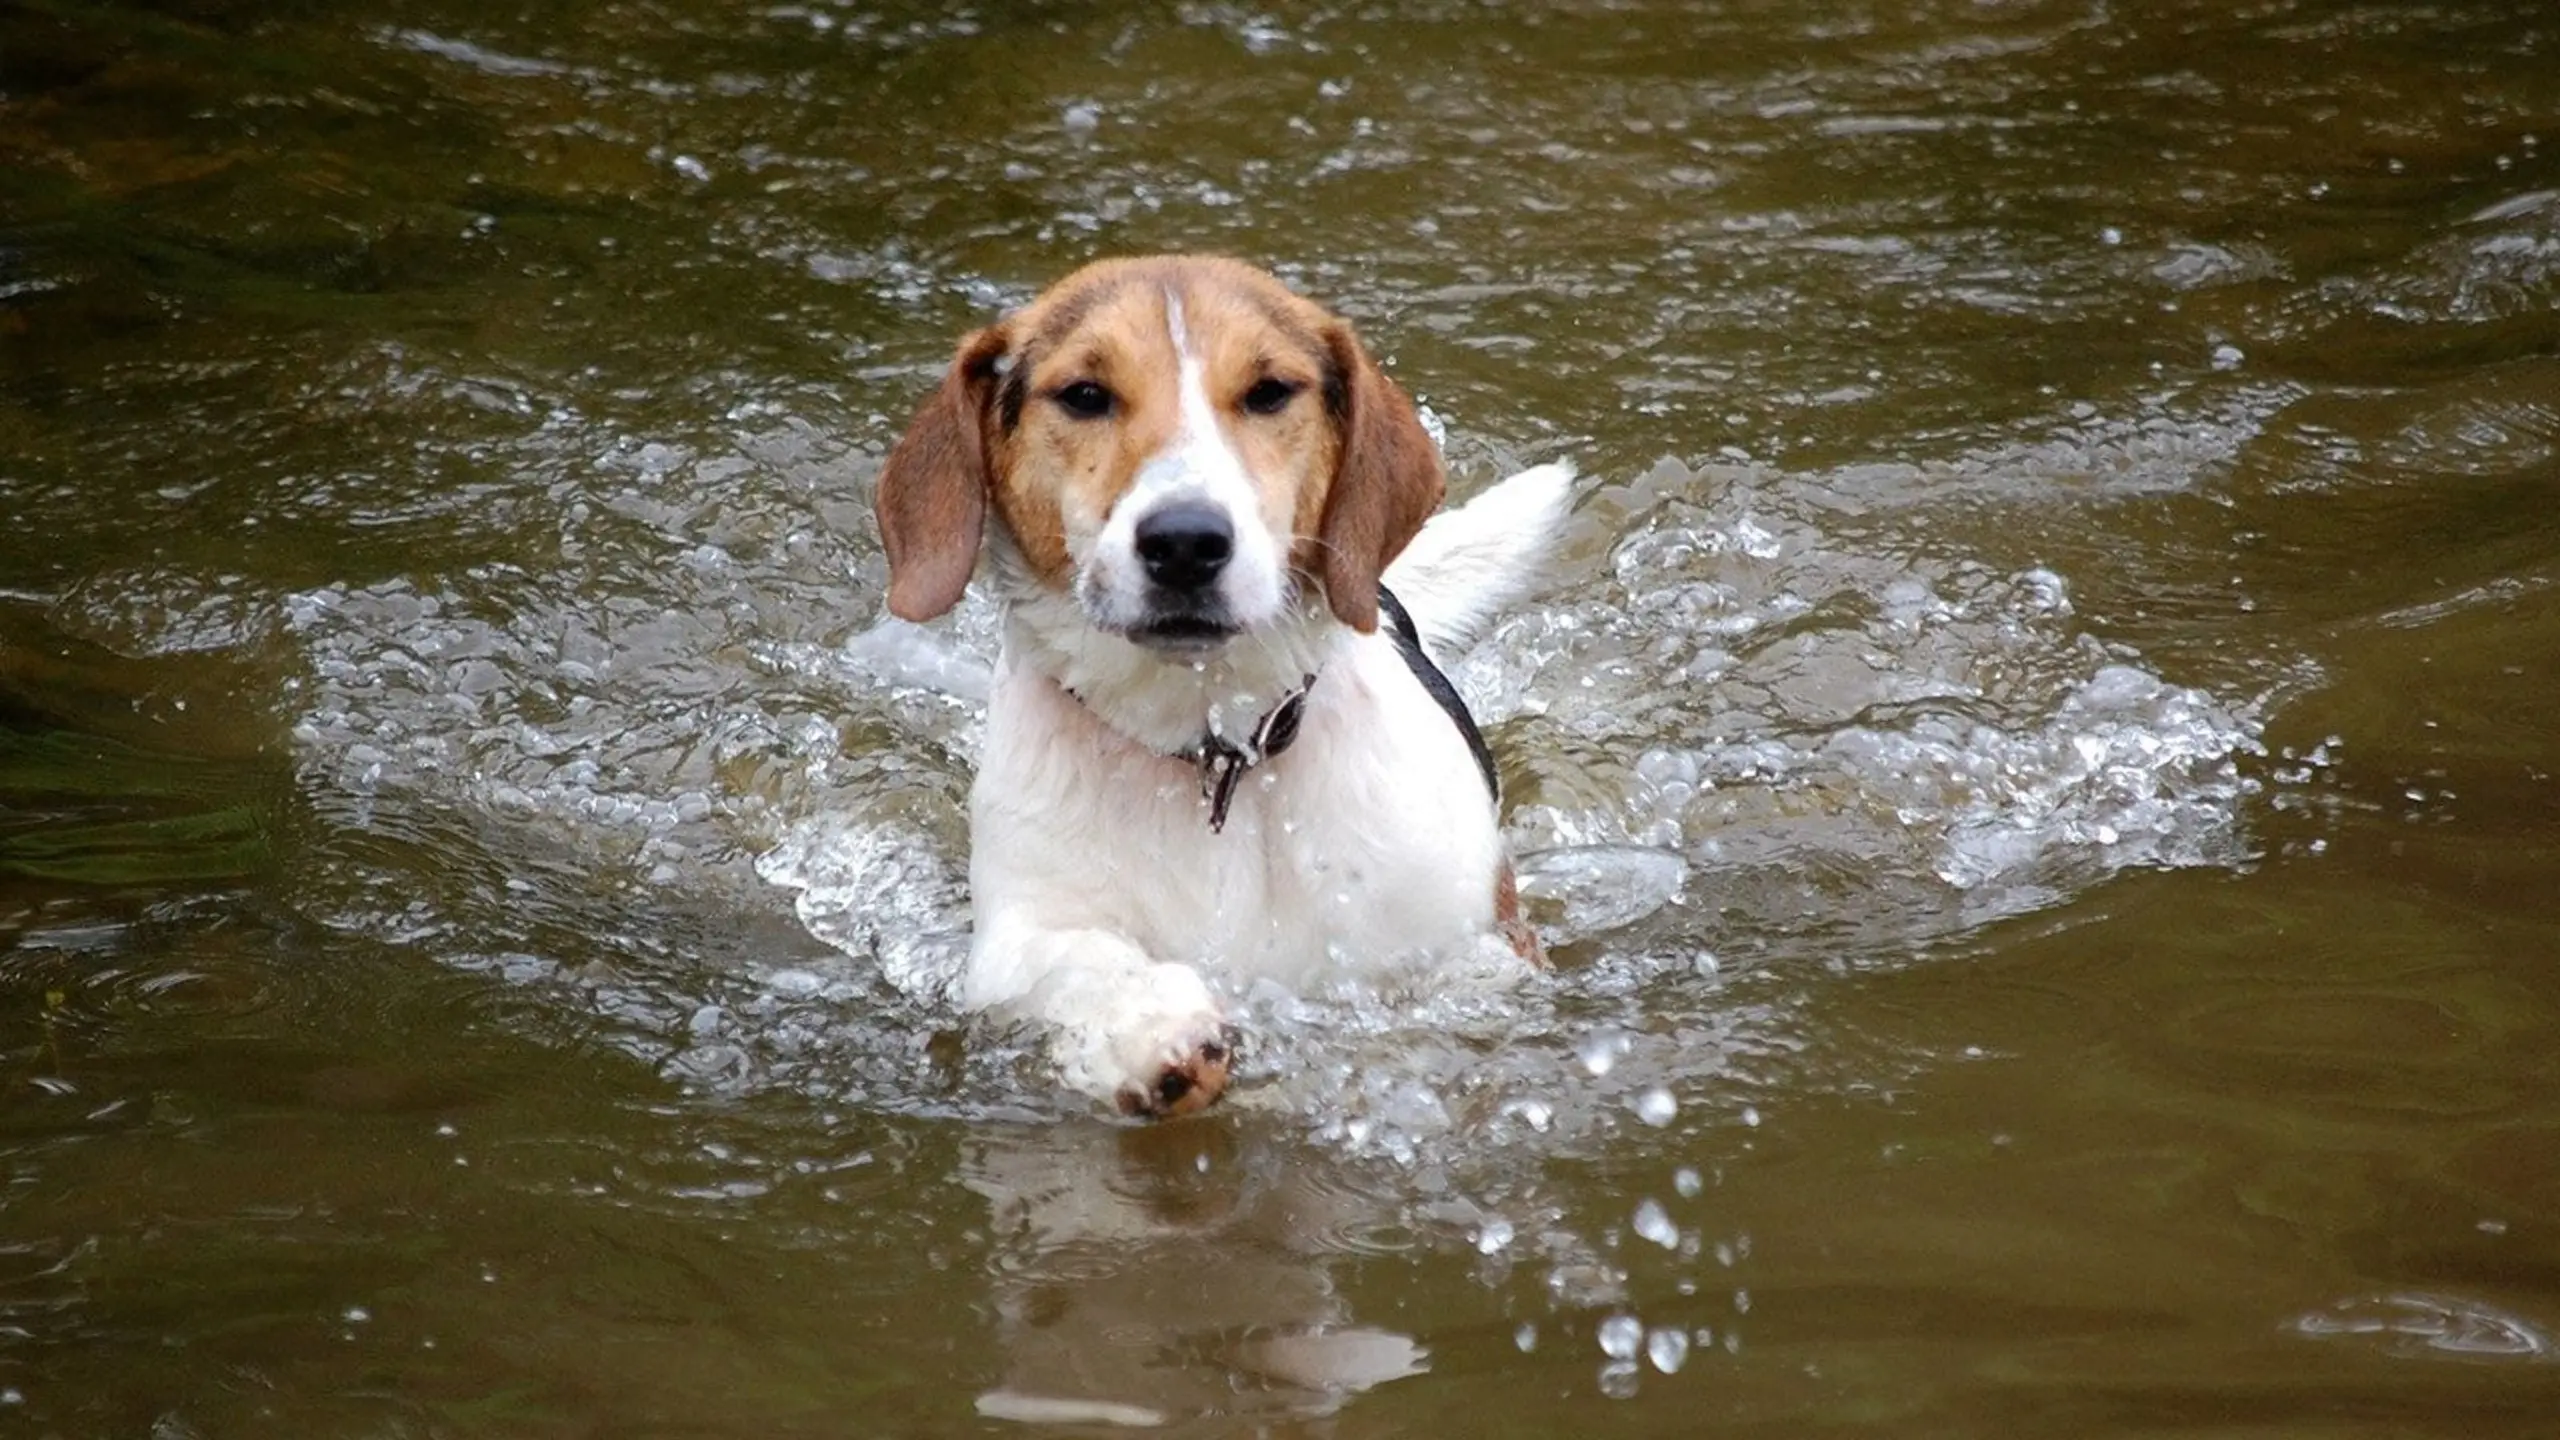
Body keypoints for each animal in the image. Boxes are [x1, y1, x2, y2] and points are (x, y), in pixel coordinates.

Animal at [870, 252, 1566, 1117]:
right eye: (1085, 395)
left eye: (1268, 391)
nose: (1185, 541)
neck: (1214, 748)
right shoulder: (1016, 935)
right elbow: (1072, 964)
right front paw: (1151, 1028)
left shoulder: (1477, 946)